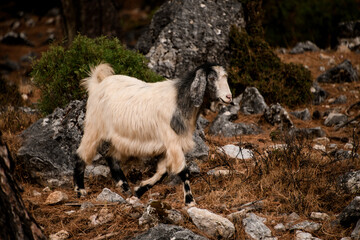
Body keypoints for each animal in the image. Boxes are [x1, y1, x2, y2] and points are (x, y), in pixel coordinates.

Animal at [73, 62, 232, 206]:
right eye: (211, 78)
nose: (229, 97)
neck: (179, 101)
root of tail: (97, 85)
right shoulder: (172, 141)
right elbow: (183, 171)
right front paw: (190, 201)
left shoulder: (169, 146)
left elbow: (162, 173)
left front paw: (138, 191)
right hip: (94, 128)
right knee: (81, 154)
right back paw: (80, 190)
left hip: (122, 140)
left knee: (111, 156)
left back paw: (124, 186)